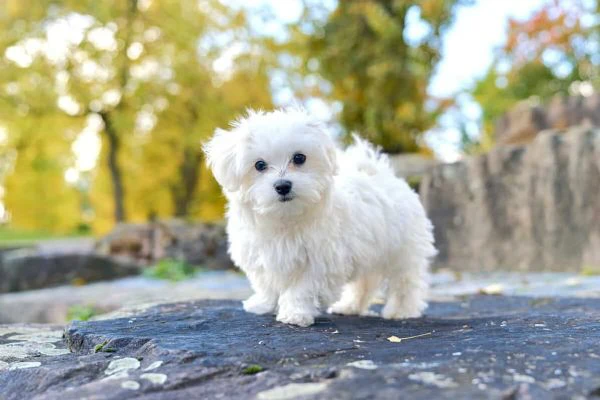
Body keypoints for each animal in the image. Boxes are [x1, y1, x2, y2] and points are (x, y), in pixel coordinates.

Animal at [204, 108, 434, 326]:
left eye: (299, 158)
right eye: (259, 165)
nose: (283, 185)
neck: (285, 218)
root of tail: (385, 176)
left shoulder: (319, 261)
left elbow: (301, 289)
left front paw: (295, 314)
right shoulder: (260, 253)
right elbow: (265, 283)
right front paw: (262, 304)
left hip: (402, 251)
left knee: (405, 282)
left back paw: (401, 310)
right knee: (364, 284)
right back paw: (350, 306)